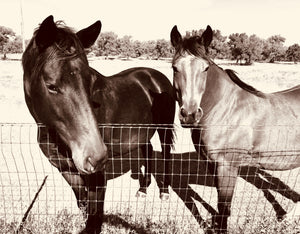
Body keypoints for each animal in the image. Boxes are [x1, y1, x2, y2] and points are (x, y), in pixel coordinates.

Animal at [22, 15, 176, 233]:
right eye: (51, 86)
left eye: (89, 82)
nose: (96, 156)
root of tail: (154, 75)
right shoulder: (67, 170)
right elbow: (83, 204)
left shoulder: (97, 177)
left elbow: (95, 215)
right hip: (141, 131)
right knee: (147, 150)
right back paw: (142, 189)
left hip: (165, 129)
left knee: (165, 155)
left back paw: (164, 191)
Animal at [171, 25, 300, 232]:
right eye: (175, 68)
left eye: (205, 68)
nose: (190, 114)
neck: (225, 109)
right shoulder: (213, 165)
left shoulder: (227, 166)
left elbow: (224, 207)